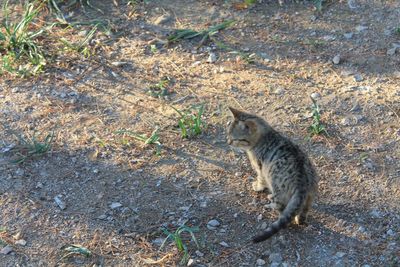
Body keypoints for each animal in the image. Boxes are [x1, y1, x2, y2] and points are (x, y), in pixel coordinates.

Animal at [228, 107, 318, 243]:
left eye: (235, 139)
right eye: (228, 134)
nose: (228, 142)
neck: (266, 135)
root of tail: (302, 182)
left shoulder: (260, 168)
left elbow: (260, 180)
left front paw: (257, 186)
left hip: (276, 185)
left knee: (282, 210)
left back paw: (271, 204)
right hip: (310, 195)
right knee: (302, 212)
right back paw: (300, 219)